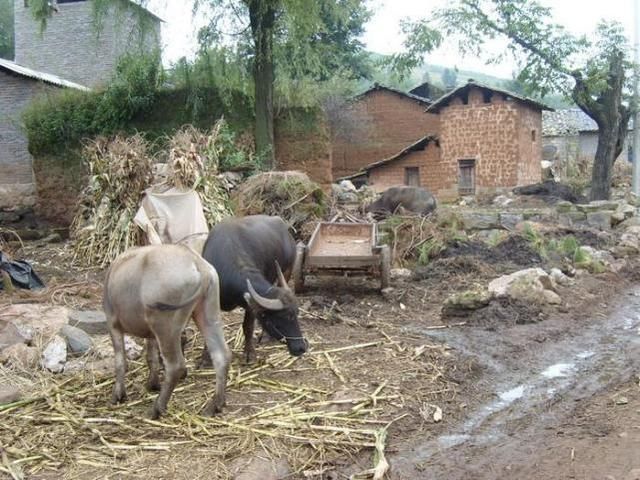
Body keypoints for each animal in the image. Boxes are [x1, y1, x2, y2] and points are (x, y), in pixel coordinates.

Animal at [202, 216, 308, 362]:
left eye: (296, 314)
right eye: (280, 318)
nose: (301, 348)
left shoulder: (251, 306)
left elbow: (248, 326)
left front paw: (249, 353)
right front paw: (205, 356)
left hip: (288, 269)